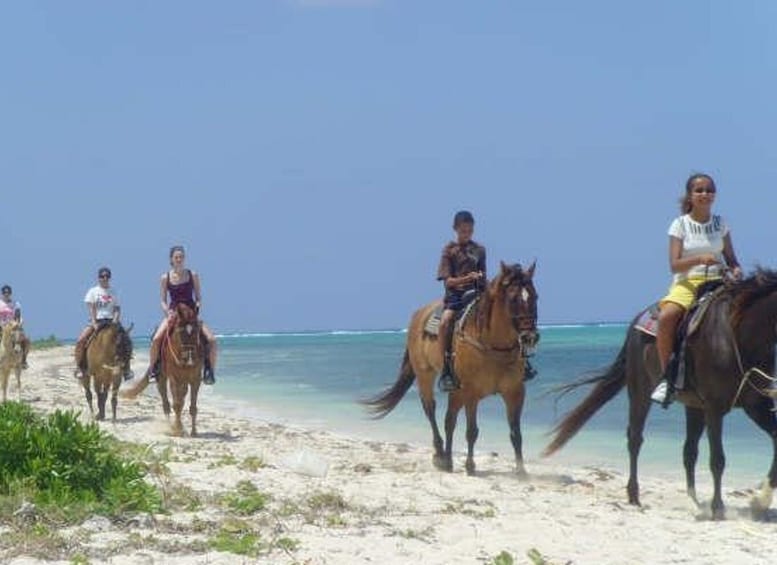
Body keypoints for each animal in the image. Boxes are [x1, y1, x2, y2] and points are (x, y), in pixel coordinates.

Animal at [123, 304, 205, 436]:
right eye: (180, 333)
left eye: (197, 331)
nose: (190, 357)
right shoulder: (174, 378)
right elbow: (177, 404)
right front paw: (177, 429)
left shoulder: (195, 379)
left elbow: (192, 406)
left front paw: (193, 431)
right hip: (161, 377)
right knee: (165, 401)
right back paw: (169, 426)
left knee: (180, 397)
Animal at [366, 262, 540, 474]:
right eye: (513, 299)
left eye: (535, 296)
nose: (530, 337)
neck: (493, 345)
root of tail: (418, 315)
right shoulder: (471, 393)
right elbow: (472, 431)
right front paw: (470, 466)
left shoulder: (514, 392)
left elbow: (516, 432)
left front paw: (521, 471)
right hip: (426, 376)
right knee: (431, 410)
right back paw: (440, 455)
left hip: (456, 391)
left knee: (450, 419)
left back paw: (447, 459)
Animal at [544, 268, 776, 520]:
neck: (738, 335)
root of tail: (636, 321)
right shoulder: (715, 408)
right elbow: (718, 459)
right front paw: (718, 508)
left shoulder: (757, 406)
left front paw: (759, 503)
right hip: (640, 391)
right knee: (635, 439)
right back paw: (634, 496)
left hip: (694, 406)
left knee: (688, 451)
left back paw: (694, 502)